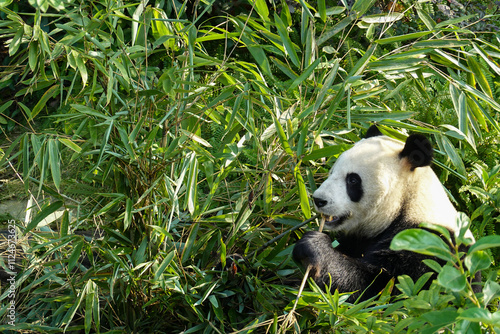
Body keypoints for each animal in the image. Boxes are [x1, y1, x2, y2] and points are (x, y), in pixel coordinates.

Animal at [292, 126, 476, 302]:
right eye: (332, 173)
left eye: (353, 180)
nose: (319, 200)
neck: (408, 201)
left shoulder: (426, 246)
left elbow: (378, 288)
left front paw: (313, 246)